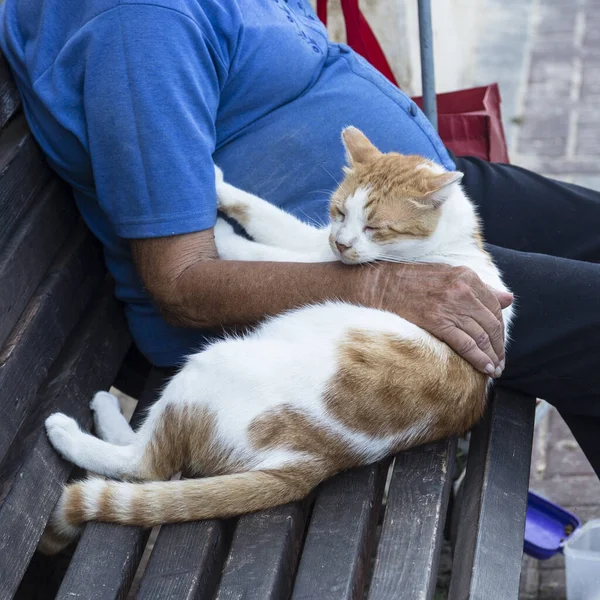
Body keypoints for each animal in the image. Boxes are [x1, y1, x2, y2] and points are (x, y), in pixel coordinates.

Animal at [39, 126, 512, 552]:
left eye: (376, 227)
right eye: (339, 213)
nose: (341, 244)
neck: (451, 243)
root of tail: (315, 462)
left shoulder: (314, 260)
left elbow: (254, 250)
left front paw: (219, 233)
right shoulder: (314, 239)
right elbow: (264, 214)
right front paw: (218, 189)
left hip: (212, 362)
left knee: (145, 464)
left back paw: (73, 428)